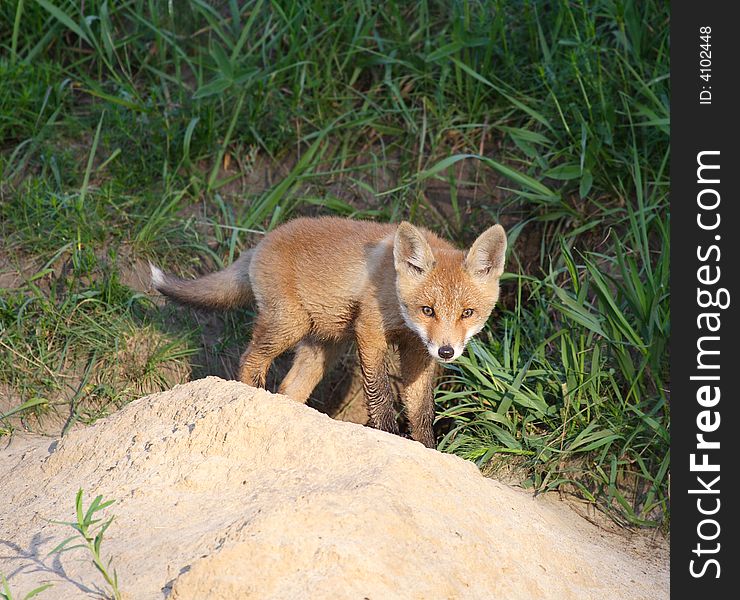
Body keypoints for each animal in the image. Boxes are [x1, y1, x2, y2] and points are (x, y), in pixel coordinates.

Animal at [152, 218, 508, 448]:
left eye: (467, 313)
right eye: (428, 310)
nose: (447, 352)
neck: (392, 288)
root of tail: (261, 242)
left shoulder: (418, 350)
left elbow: (421, 412)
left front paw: (428, 450)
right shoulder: (370, 332)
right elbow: (380, 396)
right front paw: (390, 436)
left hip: (324, 347)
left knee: (289, 388)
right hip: (289, 325)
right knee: (250, 359)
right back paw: (254, 396)